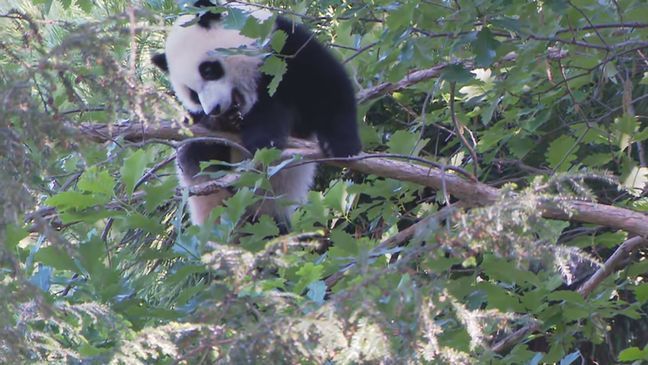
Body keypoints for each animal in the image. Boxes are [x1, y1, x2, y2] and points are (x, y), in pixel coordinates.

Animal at [154, 1, 362, 230]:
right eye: (192, 94)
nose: (215, 109)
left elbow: (327, 89)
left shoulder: (283, 47)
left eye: (208, 70)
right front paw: (229, 123)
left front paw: (342, 146)